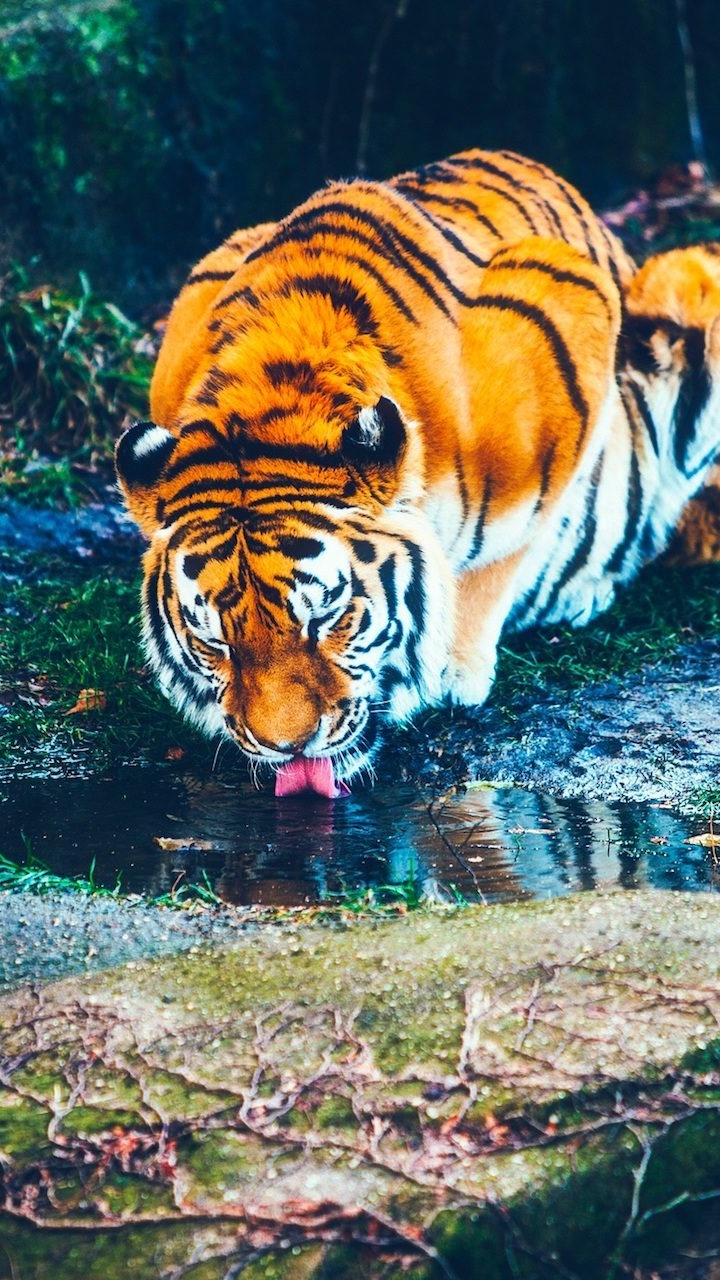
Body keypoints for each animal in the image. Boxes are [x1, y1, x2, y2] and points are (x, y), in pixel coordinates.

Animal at [115, 148, 720, 797]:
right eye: (215, 639)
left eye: (325, 618)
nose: (287, 746)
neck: (274, 387)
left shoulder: (571, 306)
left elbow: (505, 549)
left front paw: (455, 668)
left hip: (685, 279)